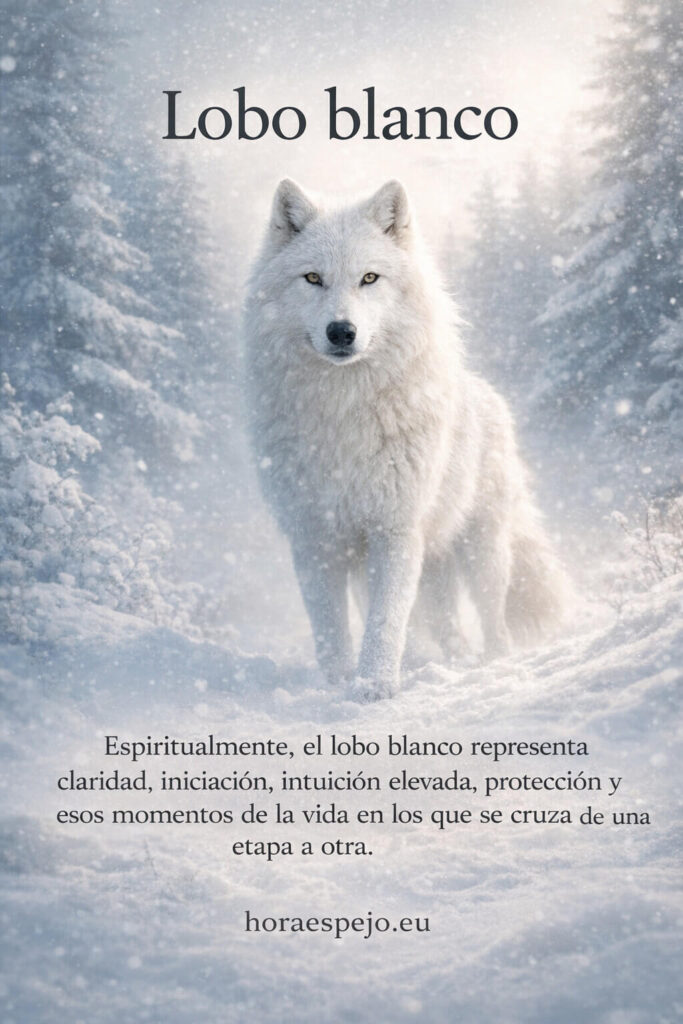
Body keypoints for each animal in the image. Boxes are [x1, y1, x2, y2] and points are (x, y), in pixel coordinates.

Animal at [244, 179, 567, 700]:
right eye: (312, 278)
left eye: (369, 278)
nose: (342, 331)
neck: (344, 413)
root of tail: (488, 394)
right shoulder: (315, 537)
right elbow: (331, 630)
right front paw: (338, 686)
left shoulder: (394, 530)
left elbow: (385, 622)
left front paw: (375, 688)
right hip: (425, 565)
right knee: (447, 625)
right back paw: (444, 663)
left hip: (481, 551)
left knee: (493, 620)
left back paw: (493, 664)